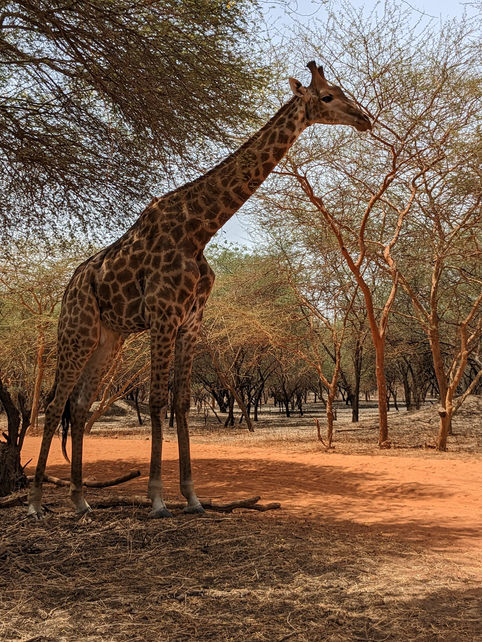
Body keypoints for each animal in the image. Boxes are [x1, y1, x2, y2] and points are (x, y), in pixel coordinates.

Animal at [27, 61, 371, 519]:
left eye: (343, 90)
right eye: (328, 96)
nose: (364, 119)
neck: (199, 230)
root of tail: (68, 287)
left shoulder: (191, 321)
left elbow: (182, 402)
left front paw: (192, 498)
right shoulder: (162, 316)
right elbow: (157, 401)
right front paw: (157, 500)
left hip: (110, 338)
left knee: (80, 405)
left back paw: (81, 499)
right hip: (77, 329)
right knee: (55, 404)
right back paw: (35, 502)